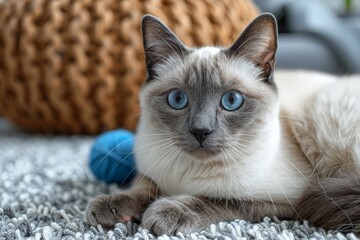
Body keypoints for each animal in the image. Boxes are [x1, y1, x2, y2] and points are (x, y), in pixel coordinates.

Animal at [86, 12, 360, 235]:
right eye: (177, 99)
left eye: (231, 101)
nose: (201, 131)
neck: (186, 175)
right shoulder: (151, 169)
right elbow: (142, 185)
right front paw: (110, 206)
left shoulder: (287, 199)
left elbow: (217, 199)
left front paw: (164, 213)